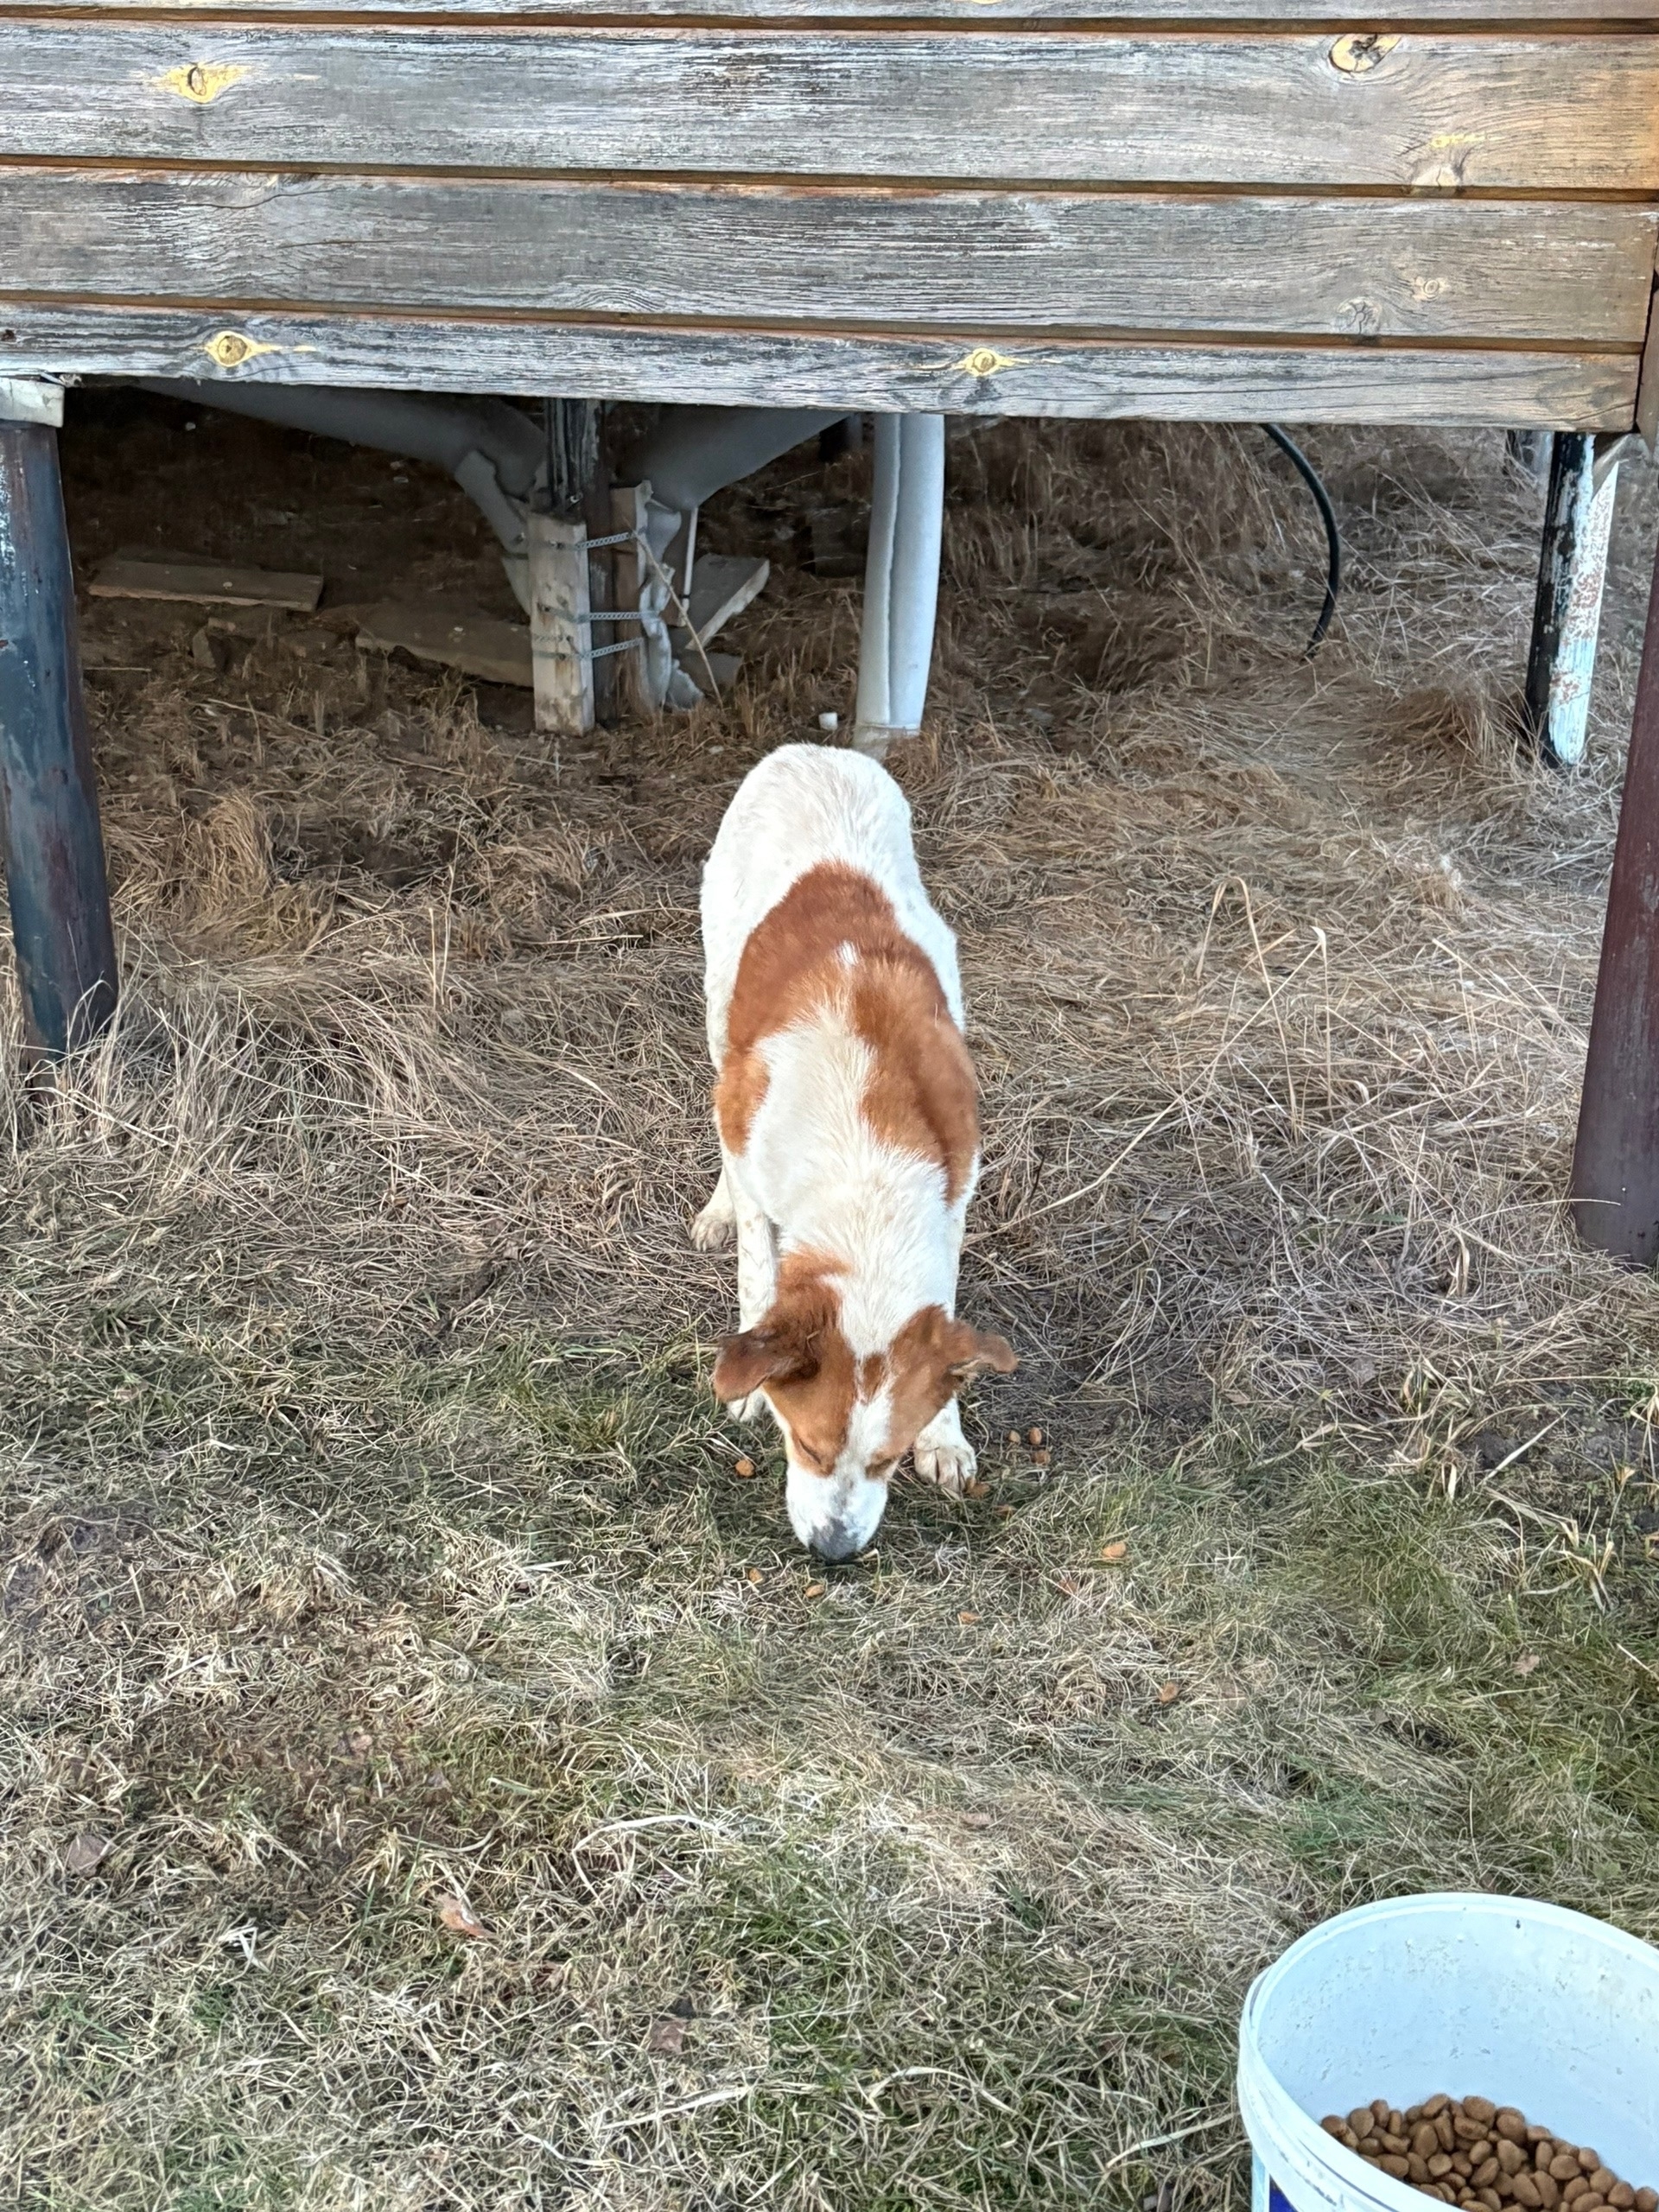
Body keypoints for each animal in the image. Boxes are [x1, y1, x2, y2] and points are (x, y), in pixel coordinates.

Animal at [695, 743, 1015, 1559]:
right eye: (806, 1445)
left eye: (888, 1460)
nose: (834, 1552)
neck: (867, 1159)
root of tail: (815, 750)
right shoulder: (756, 1161)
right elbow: (756, 1270)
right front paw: (748, 1386)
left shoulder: (954, 1196)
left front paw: (946, 1435)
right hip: (718, 1003)